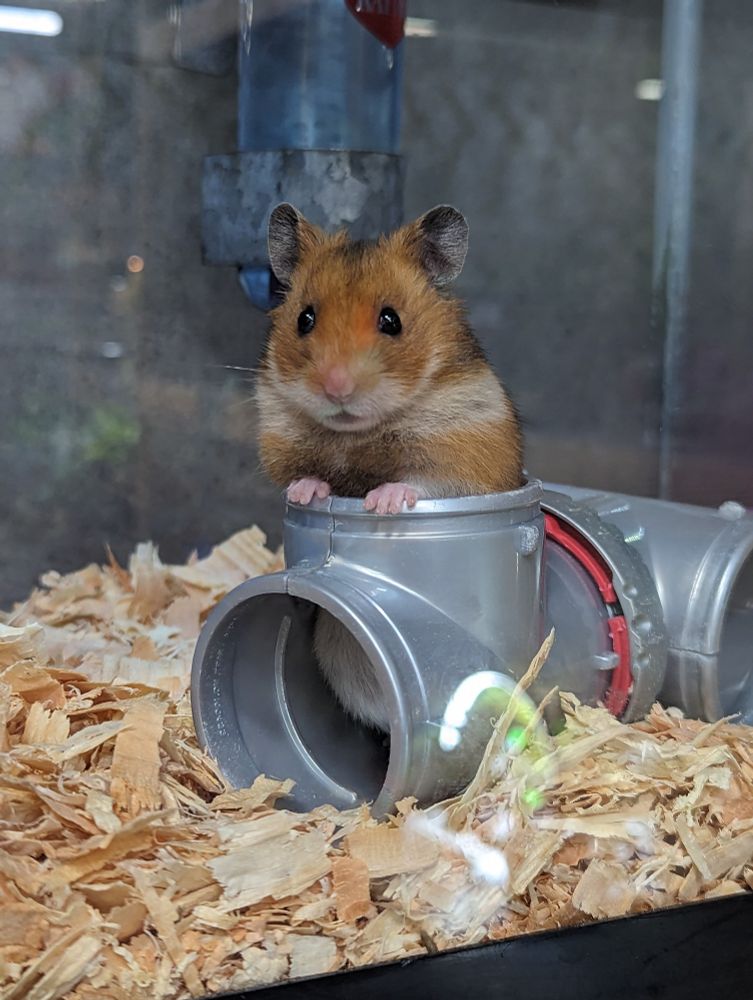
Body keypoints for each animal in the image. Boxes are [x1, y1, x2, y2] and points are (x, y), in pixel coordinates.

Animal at [256, 202, 523, 729]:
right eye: (305, 318)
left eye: (391, 320)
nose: (336, 387)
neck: (357, 435)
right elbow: (303, 473)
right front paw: (307, 491)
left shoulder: (468, 454)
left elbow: (420, 480)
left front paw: (382, 503)